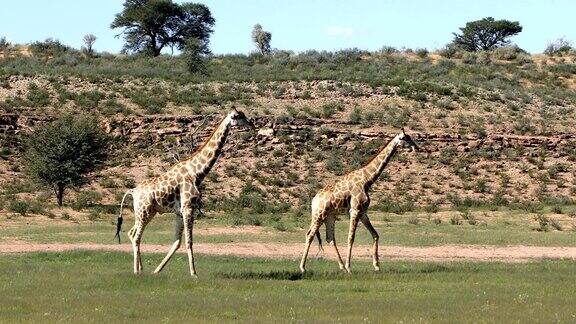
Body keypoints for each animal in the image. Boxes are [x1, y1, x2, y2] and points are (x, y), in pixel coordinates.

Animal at [115, 108, 254, 276]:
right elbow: (189, 241)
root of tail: (133, 191)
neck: (196, 173)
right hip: (144, 211)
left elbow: (177, 242)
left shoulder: (179, 212)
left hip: (147, 212)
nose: (252, 124)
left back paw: (141, 268)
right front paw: (194, 273)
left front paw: (157, 270)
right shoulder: (189, 207)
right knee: (136, 236)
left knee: (131, 232)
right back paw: (136, 271)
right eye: (238, 116)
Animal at [296, 129, 418, 274]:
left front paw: (376, 266)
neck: (367, 180)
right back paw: (303, 267)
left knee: (330, 238)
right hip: (319, 215)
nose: (416, 148)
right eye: (405, 138)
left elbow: (375, 235)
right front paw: (350, 267)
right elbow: (351, 238)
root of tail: (314, 200)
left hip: (329, 216)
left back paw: (341, 267)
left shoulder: (363, 212)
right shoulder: (354, 210)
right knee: (310, 235)